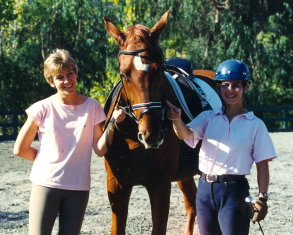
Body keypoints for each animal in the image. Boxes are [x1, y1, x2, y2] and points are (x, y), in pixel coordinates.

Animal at [102, 10, 219, 235]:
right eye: (123, 74)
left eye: (159, 70)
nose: (151, 135)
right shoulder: (117, 186)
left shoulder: (160, 185)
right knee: (192, 203)